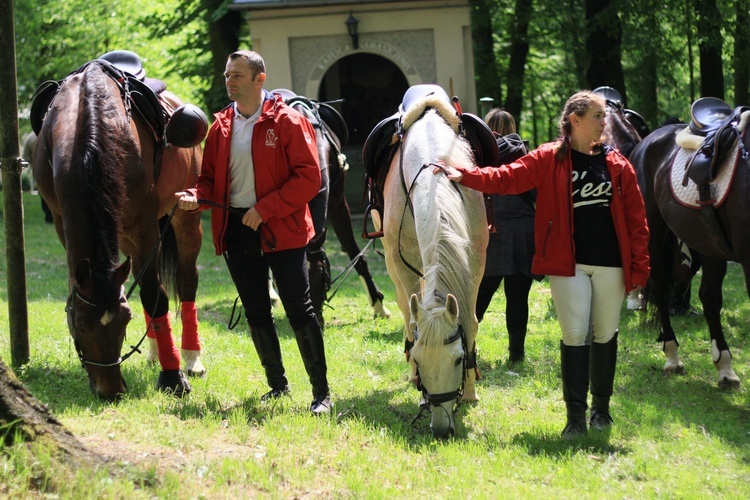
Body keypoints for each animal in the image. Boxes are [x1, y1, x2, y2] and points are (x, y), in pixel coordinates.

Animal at [31, 60, 206, 400]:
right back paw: (155, 351)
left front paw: (173, 376)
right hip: (123, 234)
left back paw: (190, 358)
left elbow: (154, 295)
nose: (110, 389)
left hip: (185, 215)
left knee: (186, 280)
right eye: (81, 323)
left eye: (125, 321)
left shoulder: (145, 225)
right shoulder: (61, 221)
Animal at [382, 92, 488, 436]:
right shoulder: (401, 261)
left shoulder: (477, 257)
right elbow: (411, 319)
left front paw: (470, 393)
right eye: (418, 358)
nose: (441, 427)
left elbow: (470, 320)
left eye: (457, 359)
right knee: (405, 310)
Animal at [632, 122, 748, 390]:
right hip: (654, 232)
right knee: (662, 290)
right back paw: (672, 358)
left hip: (708, 244)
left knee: (709, 298)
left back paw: (725, 368)